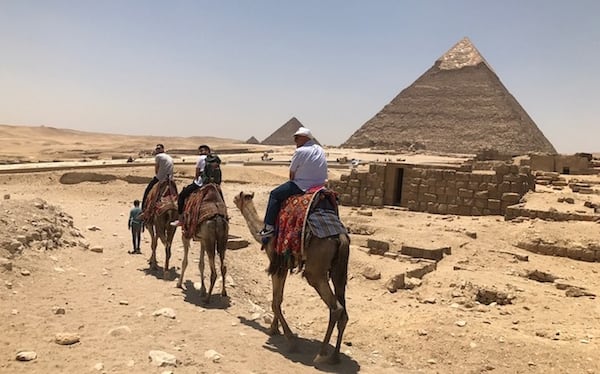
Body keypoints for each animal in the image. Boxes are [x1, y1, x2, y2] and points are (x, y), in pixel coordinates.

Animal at [232, 191, 350, 364]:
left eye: (238, 197)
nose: (233, 199)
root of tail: (340, 237)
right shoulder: (285, 265)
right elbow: (278, 298)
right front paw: (273, 329)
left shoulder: (276, 263)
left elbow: (275, 302)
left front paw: (290, 341)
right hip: (339, 271)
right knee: (344, 311)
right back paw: (335, 357)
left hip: (315, 271)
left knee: (336, 308)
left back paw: (320, 355)